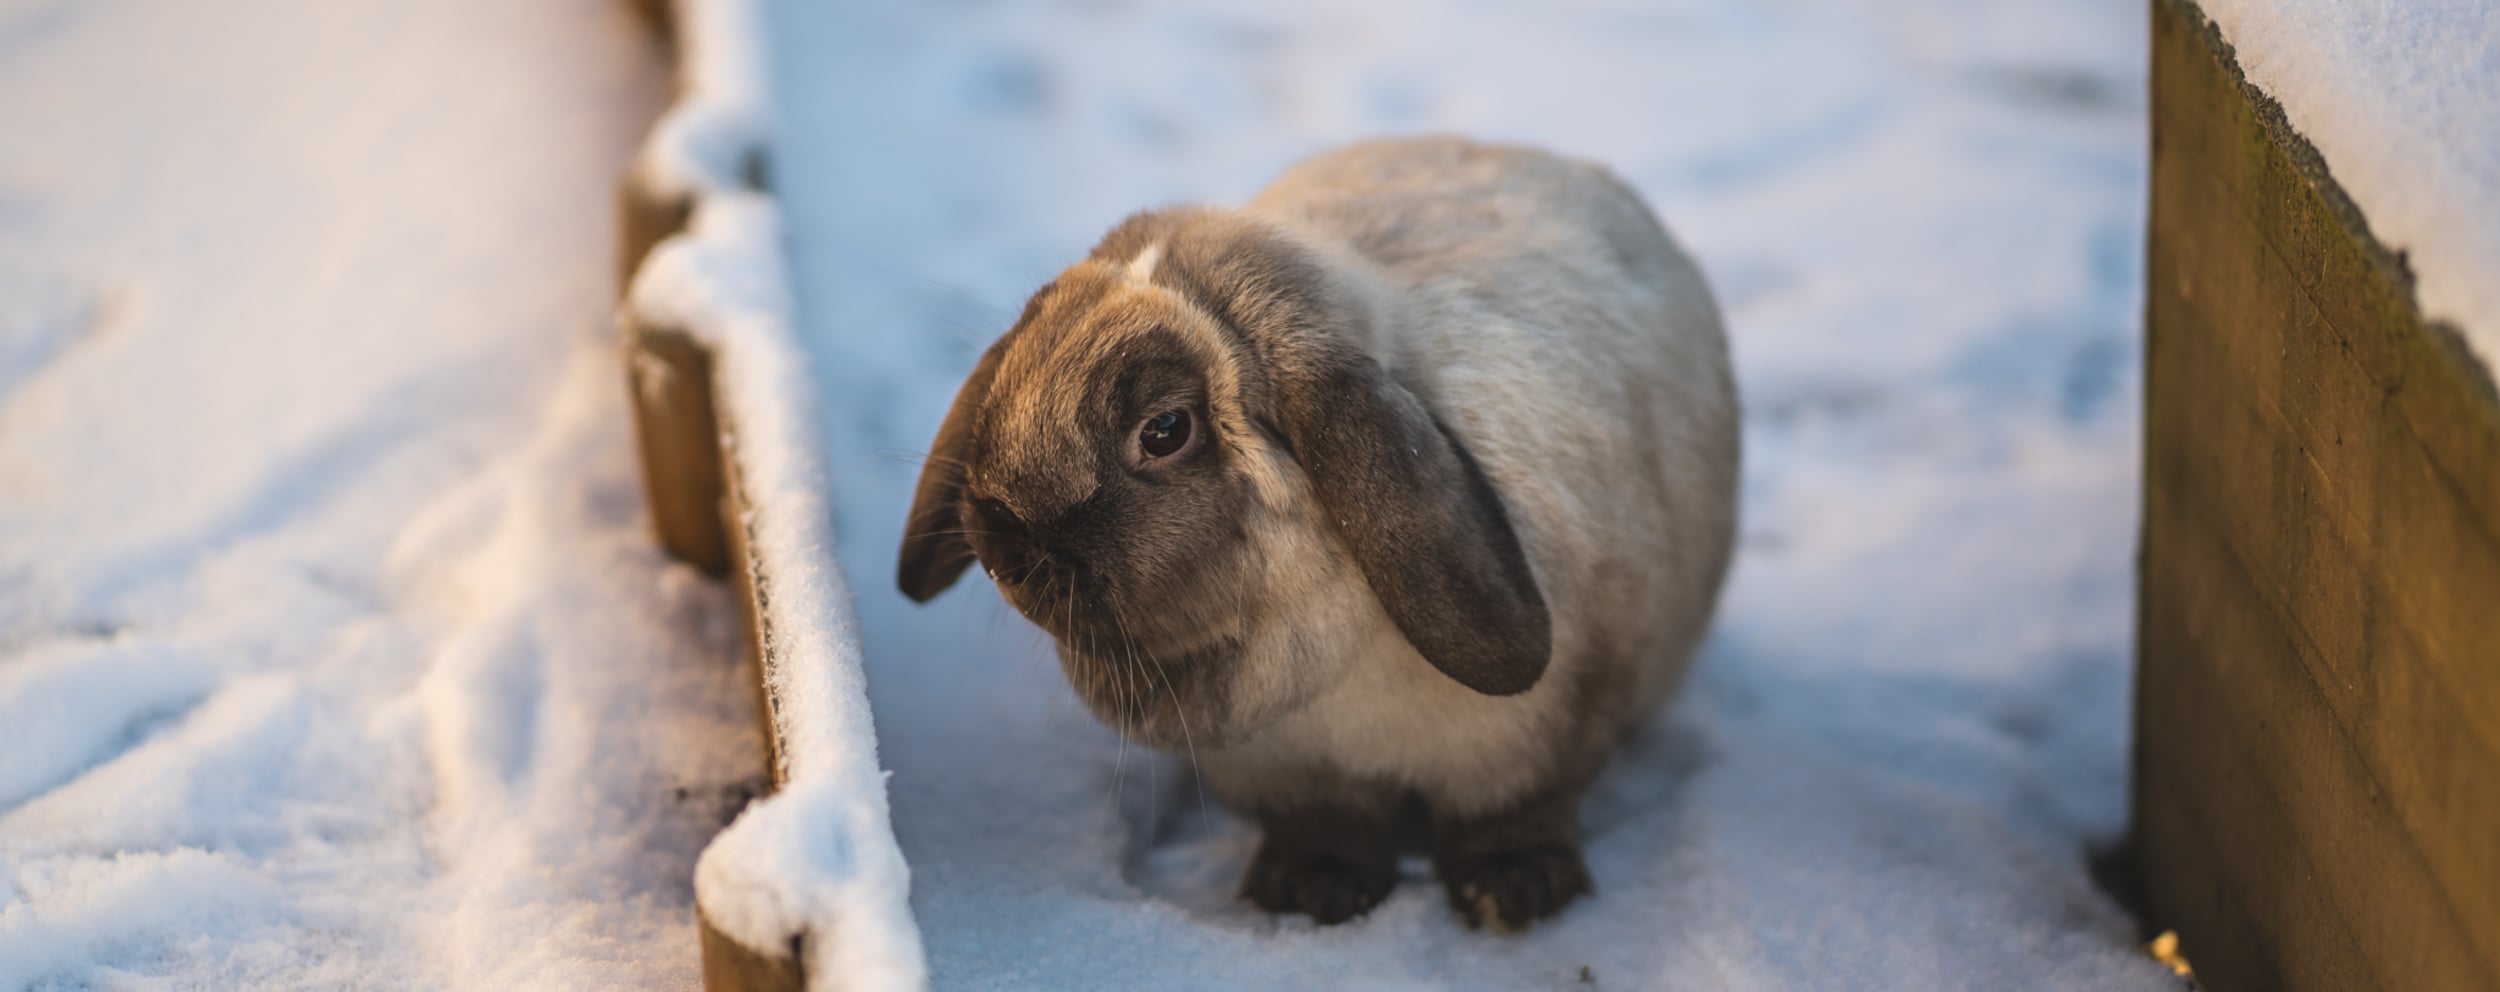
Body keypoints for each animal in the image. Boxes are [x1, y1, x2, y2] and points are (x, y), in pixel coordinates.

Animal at [900, 135, 1740, 929]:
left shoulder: (1537, 737)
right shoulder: (1286, 771)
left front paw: (1513, 891)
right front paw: (1311, 892)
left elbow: (1514, 813)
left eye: (1165, 430)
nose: (1003, 543)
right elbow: (1324, 827)